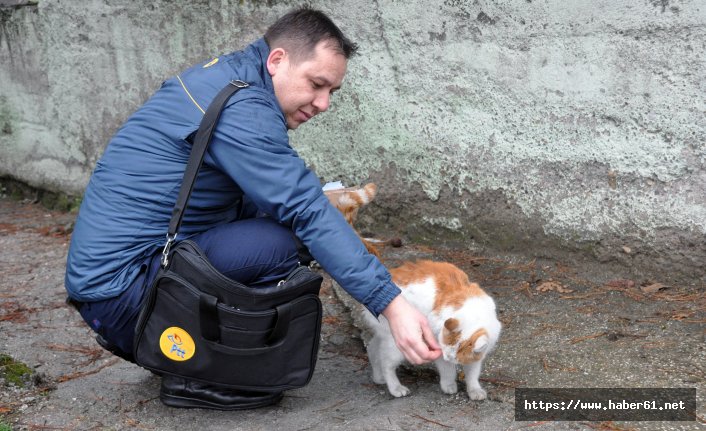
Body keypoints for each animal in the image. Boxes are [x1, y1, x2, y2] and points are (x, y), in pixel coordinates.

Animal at [324, 183, 500, 402]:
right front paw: (449, 385)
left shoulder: (476, 356)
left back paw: (378, 377)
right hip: (398, 342)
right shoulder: (435, 343)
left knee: (373, 349)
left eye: (456, 354)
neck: (472, 310)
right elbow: (447, 371)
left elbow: (473, 373)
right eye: (446, 350)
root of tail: (387, 275)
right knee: (386, 362)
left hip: (384, 336)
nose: (448, 356)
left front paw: (474, 390)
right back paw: (394, 387)